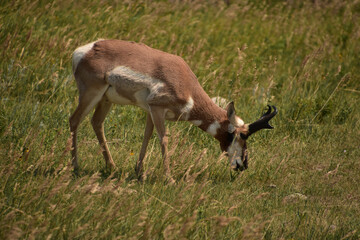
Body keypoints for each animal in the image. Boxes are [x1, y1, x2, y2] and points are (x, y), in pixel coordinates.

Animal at [70, 39, 278, 178]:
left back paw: (112, 167)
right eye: (242, 135)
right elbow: (163, 139)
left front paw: (139, 172)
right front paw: (169, 178)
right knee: (75, 120)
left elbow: (147, 136)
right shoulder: (157, 109)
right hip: (91, 93)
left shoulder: (150, 111)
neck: (187, 86)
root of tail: (85, 50)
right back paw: (75, 167)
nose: (244, 165)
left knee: (96, 122)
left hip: (106, 99)